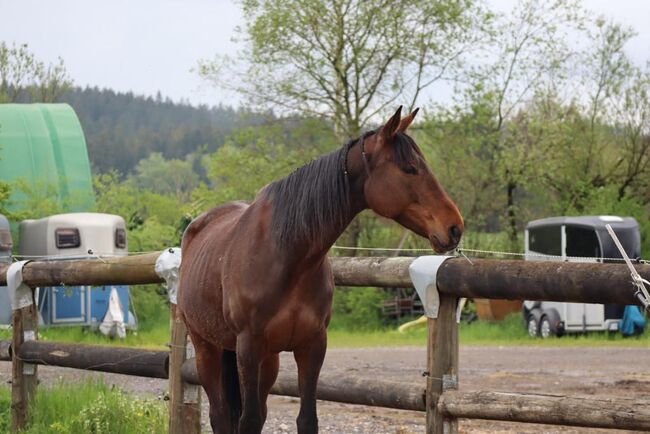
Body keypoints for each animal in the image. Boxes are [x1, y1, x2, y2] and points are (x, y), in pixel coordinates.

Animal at [176, 106, 460, 434]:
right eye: (409, 168)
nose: (454, 227)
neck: (287, 257)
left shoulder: (312, 346)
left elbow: (306, 419)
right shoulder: (248, 348)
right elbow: (247, 421)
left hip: (267, 360)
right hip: (207, 349)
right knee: (221, 415)